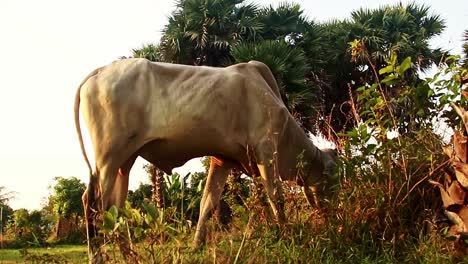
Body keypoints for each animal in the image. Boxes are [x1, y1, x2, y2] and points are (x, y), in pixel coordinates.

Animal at [74, 57, 336, 262]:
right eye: (333, 181)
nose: (334, 217)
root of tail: (99, 71)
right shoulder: (266, 149)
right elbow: (276, 197)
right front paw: (288, 235)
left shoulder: (222, 160)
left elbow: (207, 203)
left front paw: (196, 246)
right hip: (108, 157)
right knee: (93, 202)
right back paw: (96, 256)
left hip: (125, 160)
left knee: (115, 209)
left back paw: (130, 256)